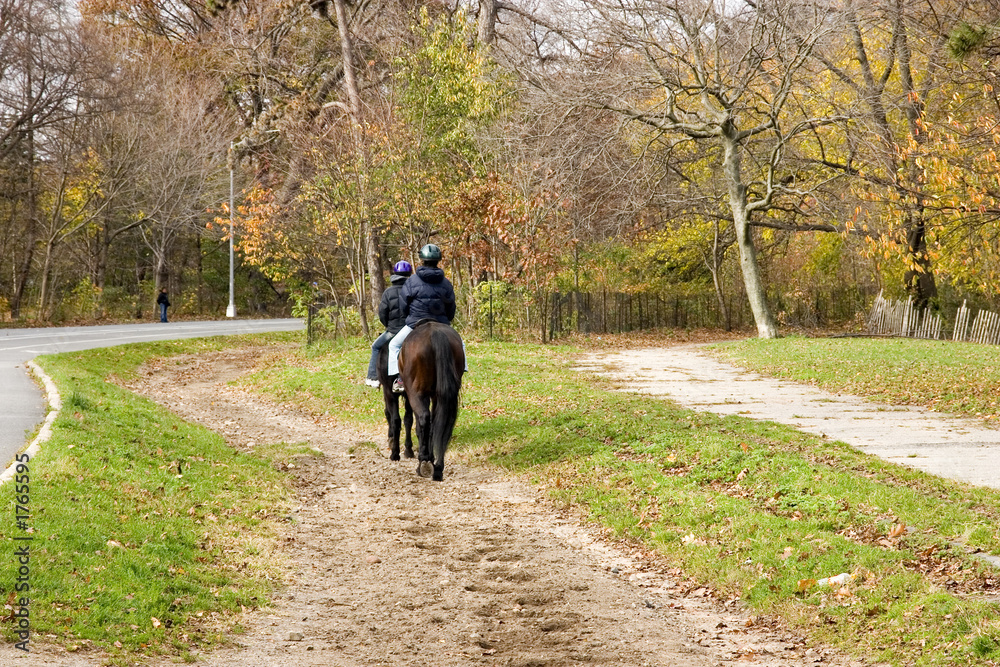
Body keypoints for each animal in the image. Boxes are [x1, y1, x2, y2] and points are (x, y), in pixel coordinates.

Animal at [395, 321, 465, 481]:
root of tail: (435, 334)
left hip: (416, 394)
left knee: (424, 419)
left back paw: (423, 462)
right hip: (443, 396)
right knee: (442, 424)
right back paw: (438, 468)